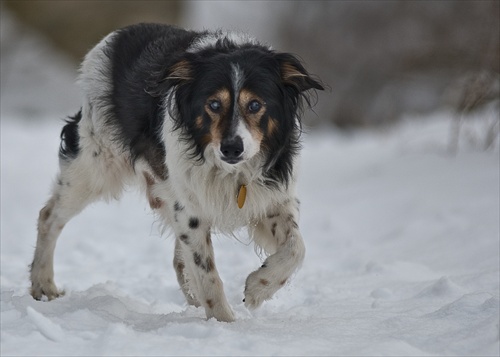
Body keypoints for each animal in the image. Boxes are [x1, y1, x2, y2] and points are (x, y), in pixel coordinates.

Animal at [29, 23, 322, 322]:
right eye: (213, 104)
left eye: (255, 105)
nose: (231, 148)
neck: (231, 171)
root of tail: (116, 36)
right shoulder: (190, 209)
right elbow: (207, 274)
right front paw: (224, 322)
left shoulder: (273, 198)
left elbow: (296, 248)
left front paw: (257, 288)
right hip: (94, 167)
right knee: (49, 216)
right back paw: (43, 285)